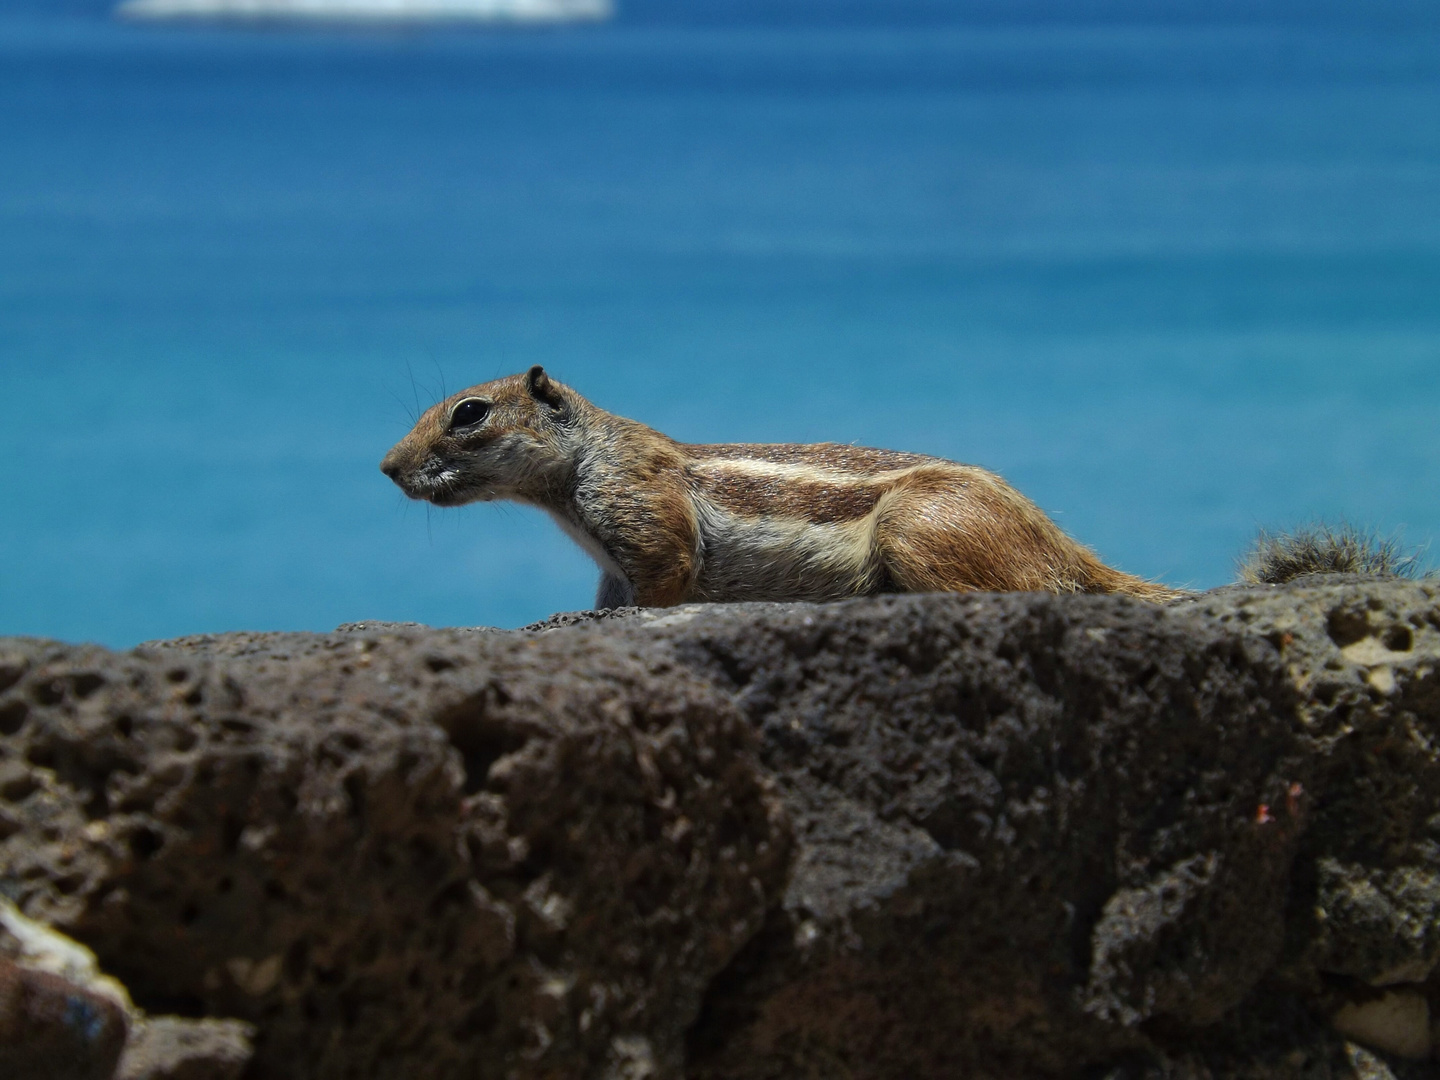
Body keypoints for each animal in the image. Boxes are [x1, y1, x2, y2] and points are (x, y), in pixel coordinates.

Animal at [377, 368, 1186, 610]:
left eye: (469, 413)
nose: (386, 467)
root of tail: (1056, 539)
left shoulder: (646, 520)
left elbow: (665, 579)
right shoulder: (612, 567)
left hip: (921, 529)